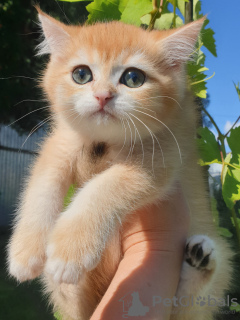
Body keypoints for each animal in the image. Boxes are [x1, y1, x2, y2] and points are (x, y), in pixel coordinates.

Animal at [7, 8, 232, 320]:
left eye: (133, 78)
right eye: (81, 74)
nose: (103, 95)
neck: (107, 141)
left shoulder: (165, 153)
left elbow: (106, 186)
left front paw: (69, 249)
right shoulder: (61, 142)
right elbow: (41, 187)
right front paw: (25, 250)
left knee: (185, 305)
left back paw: (199, 261)